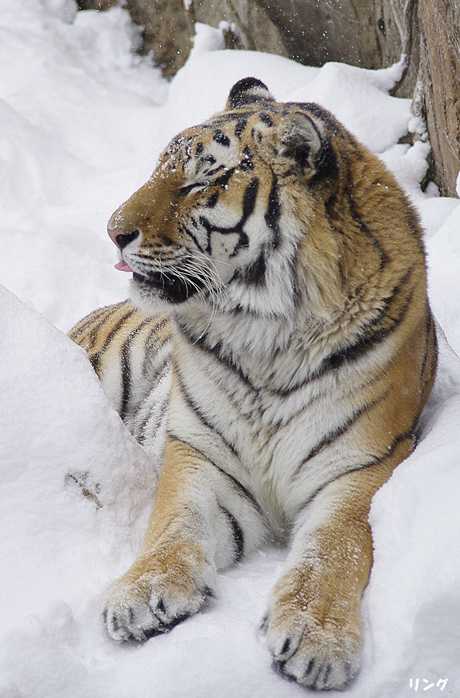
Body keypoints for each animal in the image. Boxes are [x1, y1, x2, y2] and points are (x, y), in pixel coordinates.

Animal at [70, 79, 436, 688]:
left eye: (200, 179)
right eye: (160, 169)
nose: (112, 231)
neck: (267, 337)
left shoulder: (360, 465)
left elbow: (333, 551)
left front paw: (316, 638)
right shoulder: (202, 455)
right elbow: (173, 525)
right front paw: (144, 593)